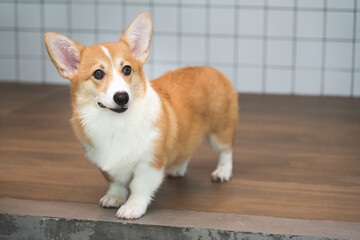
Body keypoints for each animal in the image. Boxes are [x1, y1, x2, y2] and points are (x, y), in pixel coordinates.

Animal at [43, 12, 238, 219]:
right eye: (98, 73)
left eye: (127, 69)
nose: (122, 97)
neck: (115, 124)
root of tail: (212, 69)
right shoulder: (105, 163)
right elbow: (115, 182)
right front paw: (114, 198)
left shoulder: (149, 163)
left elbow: (139, 187)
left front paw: (132, 207)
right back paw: (178, 168)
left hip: (220, 131)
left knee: (226, 151)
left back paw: (222, 172)